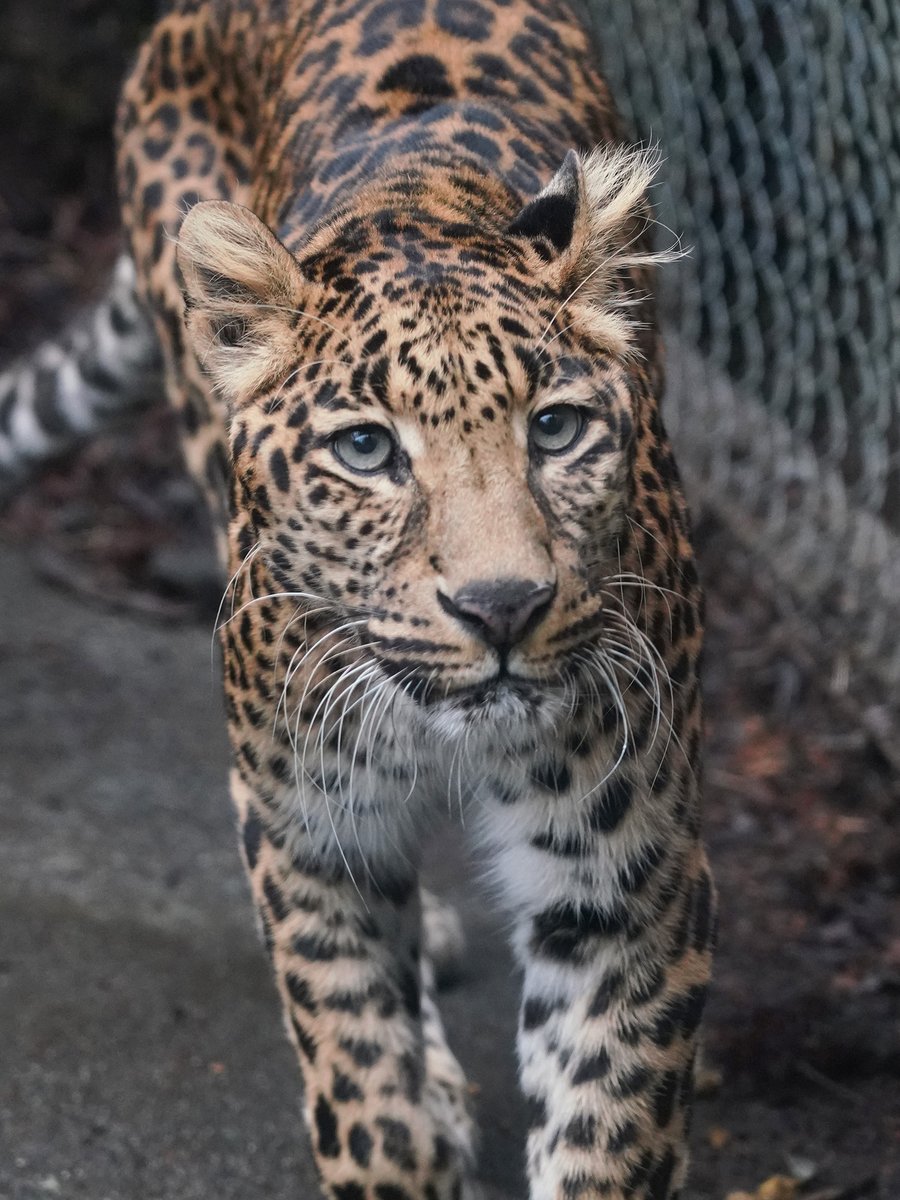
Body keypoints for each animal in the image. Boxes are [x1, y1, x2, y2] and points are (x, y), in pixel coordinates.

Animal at [0, 0, 716, 1196]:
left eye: (556, 428)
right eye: (367, 451)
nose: (502, 605)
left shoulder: (628, 888)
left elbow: (603, 1136)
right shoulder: (305, 833)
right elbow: (362, 1080)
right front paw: (405, 1125)